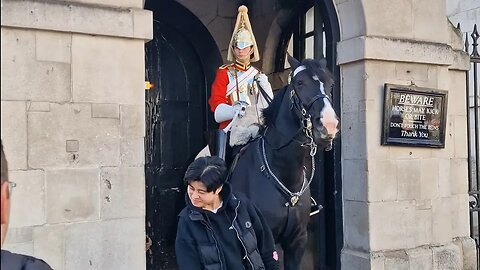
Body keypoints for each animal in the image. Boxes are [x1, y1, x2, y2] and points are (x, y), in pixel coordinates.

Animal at [228, 55, 338, 270]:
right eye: (300, 82)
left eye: (330, 84)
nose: (328, 125)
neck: (284, 173)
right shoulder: (267, 242)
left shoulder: (297, 241)